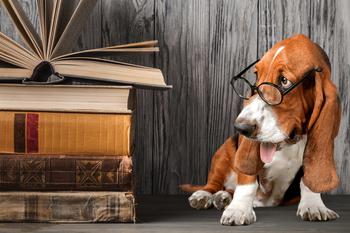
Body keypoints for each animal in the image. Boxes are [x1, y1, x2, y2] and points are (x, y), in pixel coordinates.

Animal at [182, 34, 340, 226]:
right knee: (213, 184)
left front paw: (314, 205)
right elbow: (247, 182)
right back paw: (206, 195)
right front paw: (239, 209)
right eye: (256, 75)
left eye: (284, 81)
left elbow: (307, 180)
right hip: (223, 152)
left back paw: (224, 197)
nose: (240, 128)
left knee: (228, 190)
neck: (288, 145)